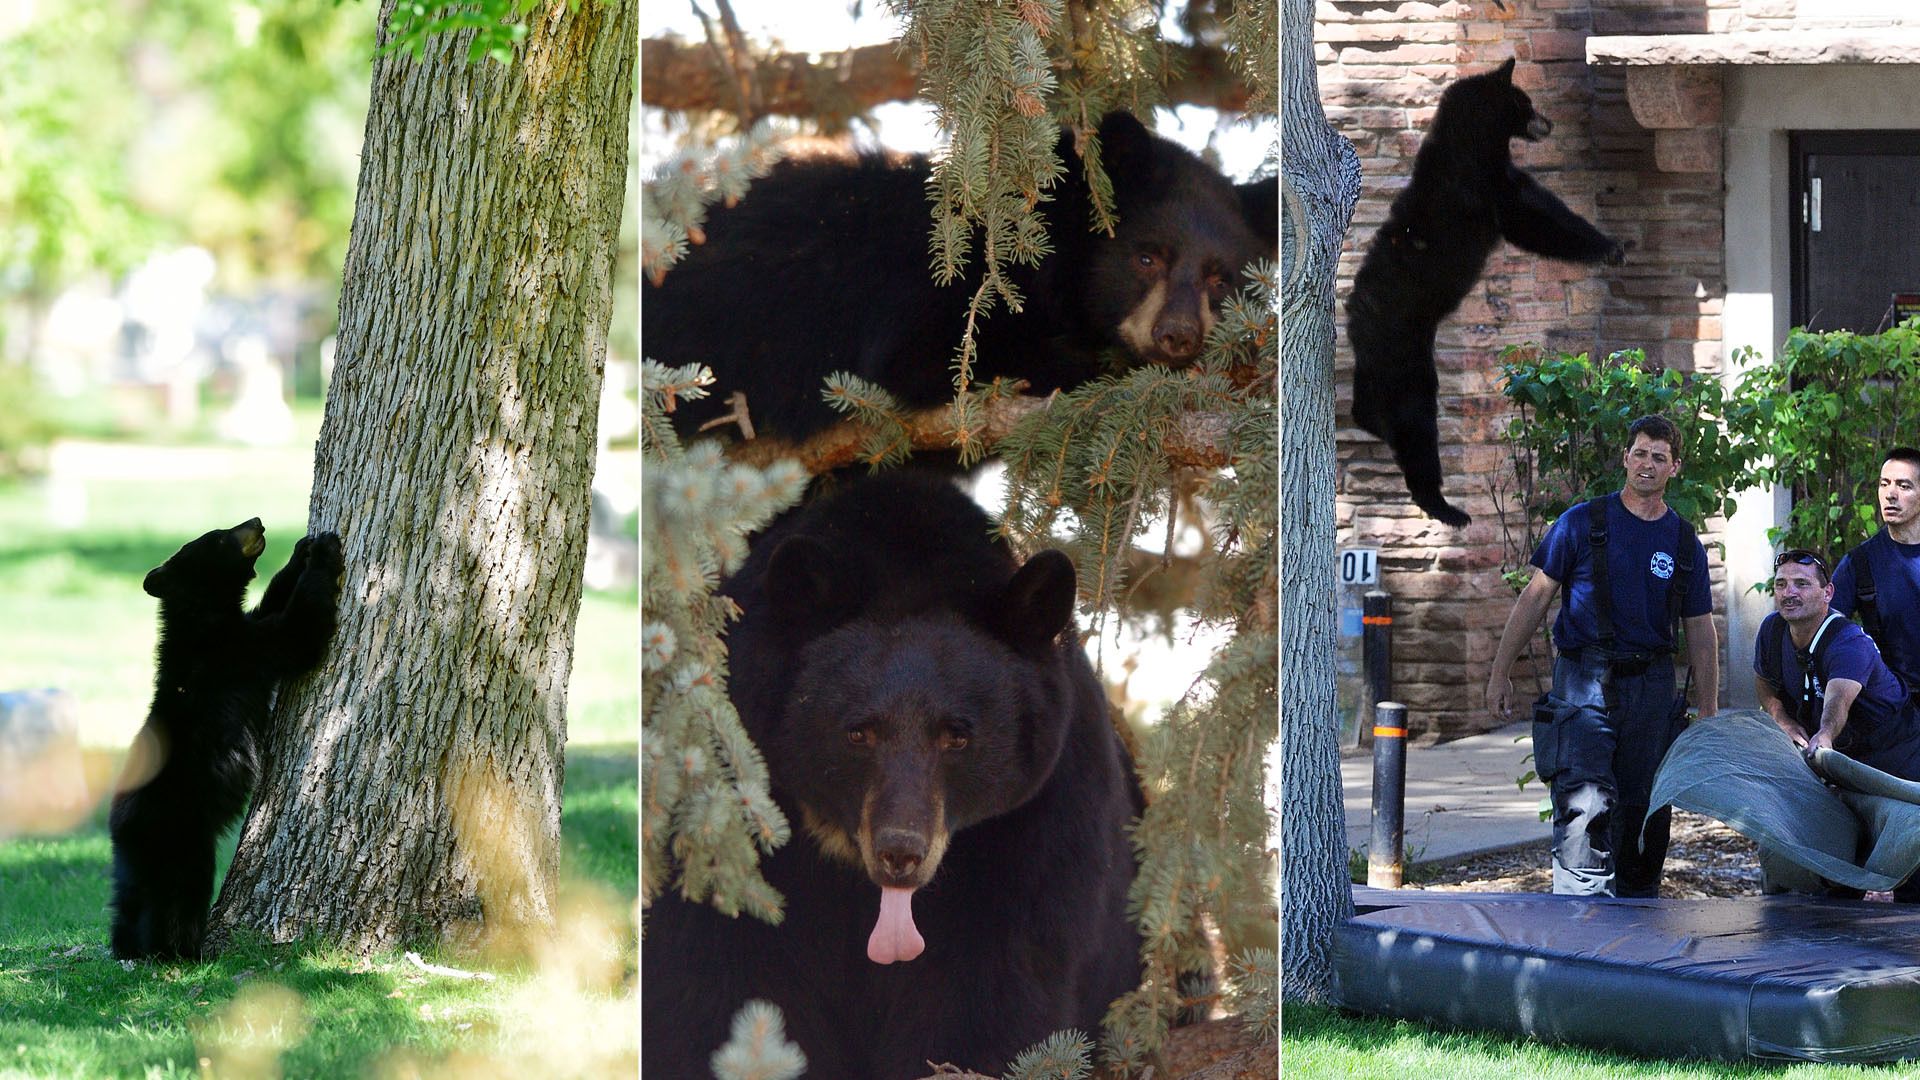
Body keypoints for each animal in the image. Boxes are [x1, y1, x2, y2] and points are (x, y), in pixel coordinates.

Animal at [109, 519, 343, 960]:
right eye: (219, 535)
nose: (257, 521)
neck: (203, 620)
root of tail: (118, 828)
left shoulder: (242, 630)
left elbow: (271, 606)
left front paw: (300, 552)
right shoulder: (239, 653)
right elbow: (298, 632)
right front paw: (324, 552)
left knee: (128, 902)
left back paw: (125, 947)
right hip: (180, 836)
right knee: (178, 896)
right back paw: (179, 950)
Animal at [641, 472, 1143, 1078]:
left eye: (957, 735)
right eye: (859, 732)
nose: (900, 852)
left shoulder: (1044, 821)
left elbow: (994, 991)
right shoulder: (731, 824)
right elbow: (717, 982)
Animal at [647, 110, 1276, 444]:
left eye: (1220, 277)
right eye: (1147, 258)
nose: (1177, 336)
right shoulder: (934, 287)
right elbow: (934, 358)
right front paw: (1086, 366)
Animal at [1346, 57, 1624, 527]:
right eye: (1525, 101)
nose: (1549, 122)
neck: (1472, 143)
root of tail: (1355, 311)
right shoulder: (1484, 188)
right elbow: (1536, 220)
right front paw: (1611, 246)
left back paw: (1365, 420)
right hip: (1404, 351)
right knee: (1414, 418)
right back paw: (1446, 507)